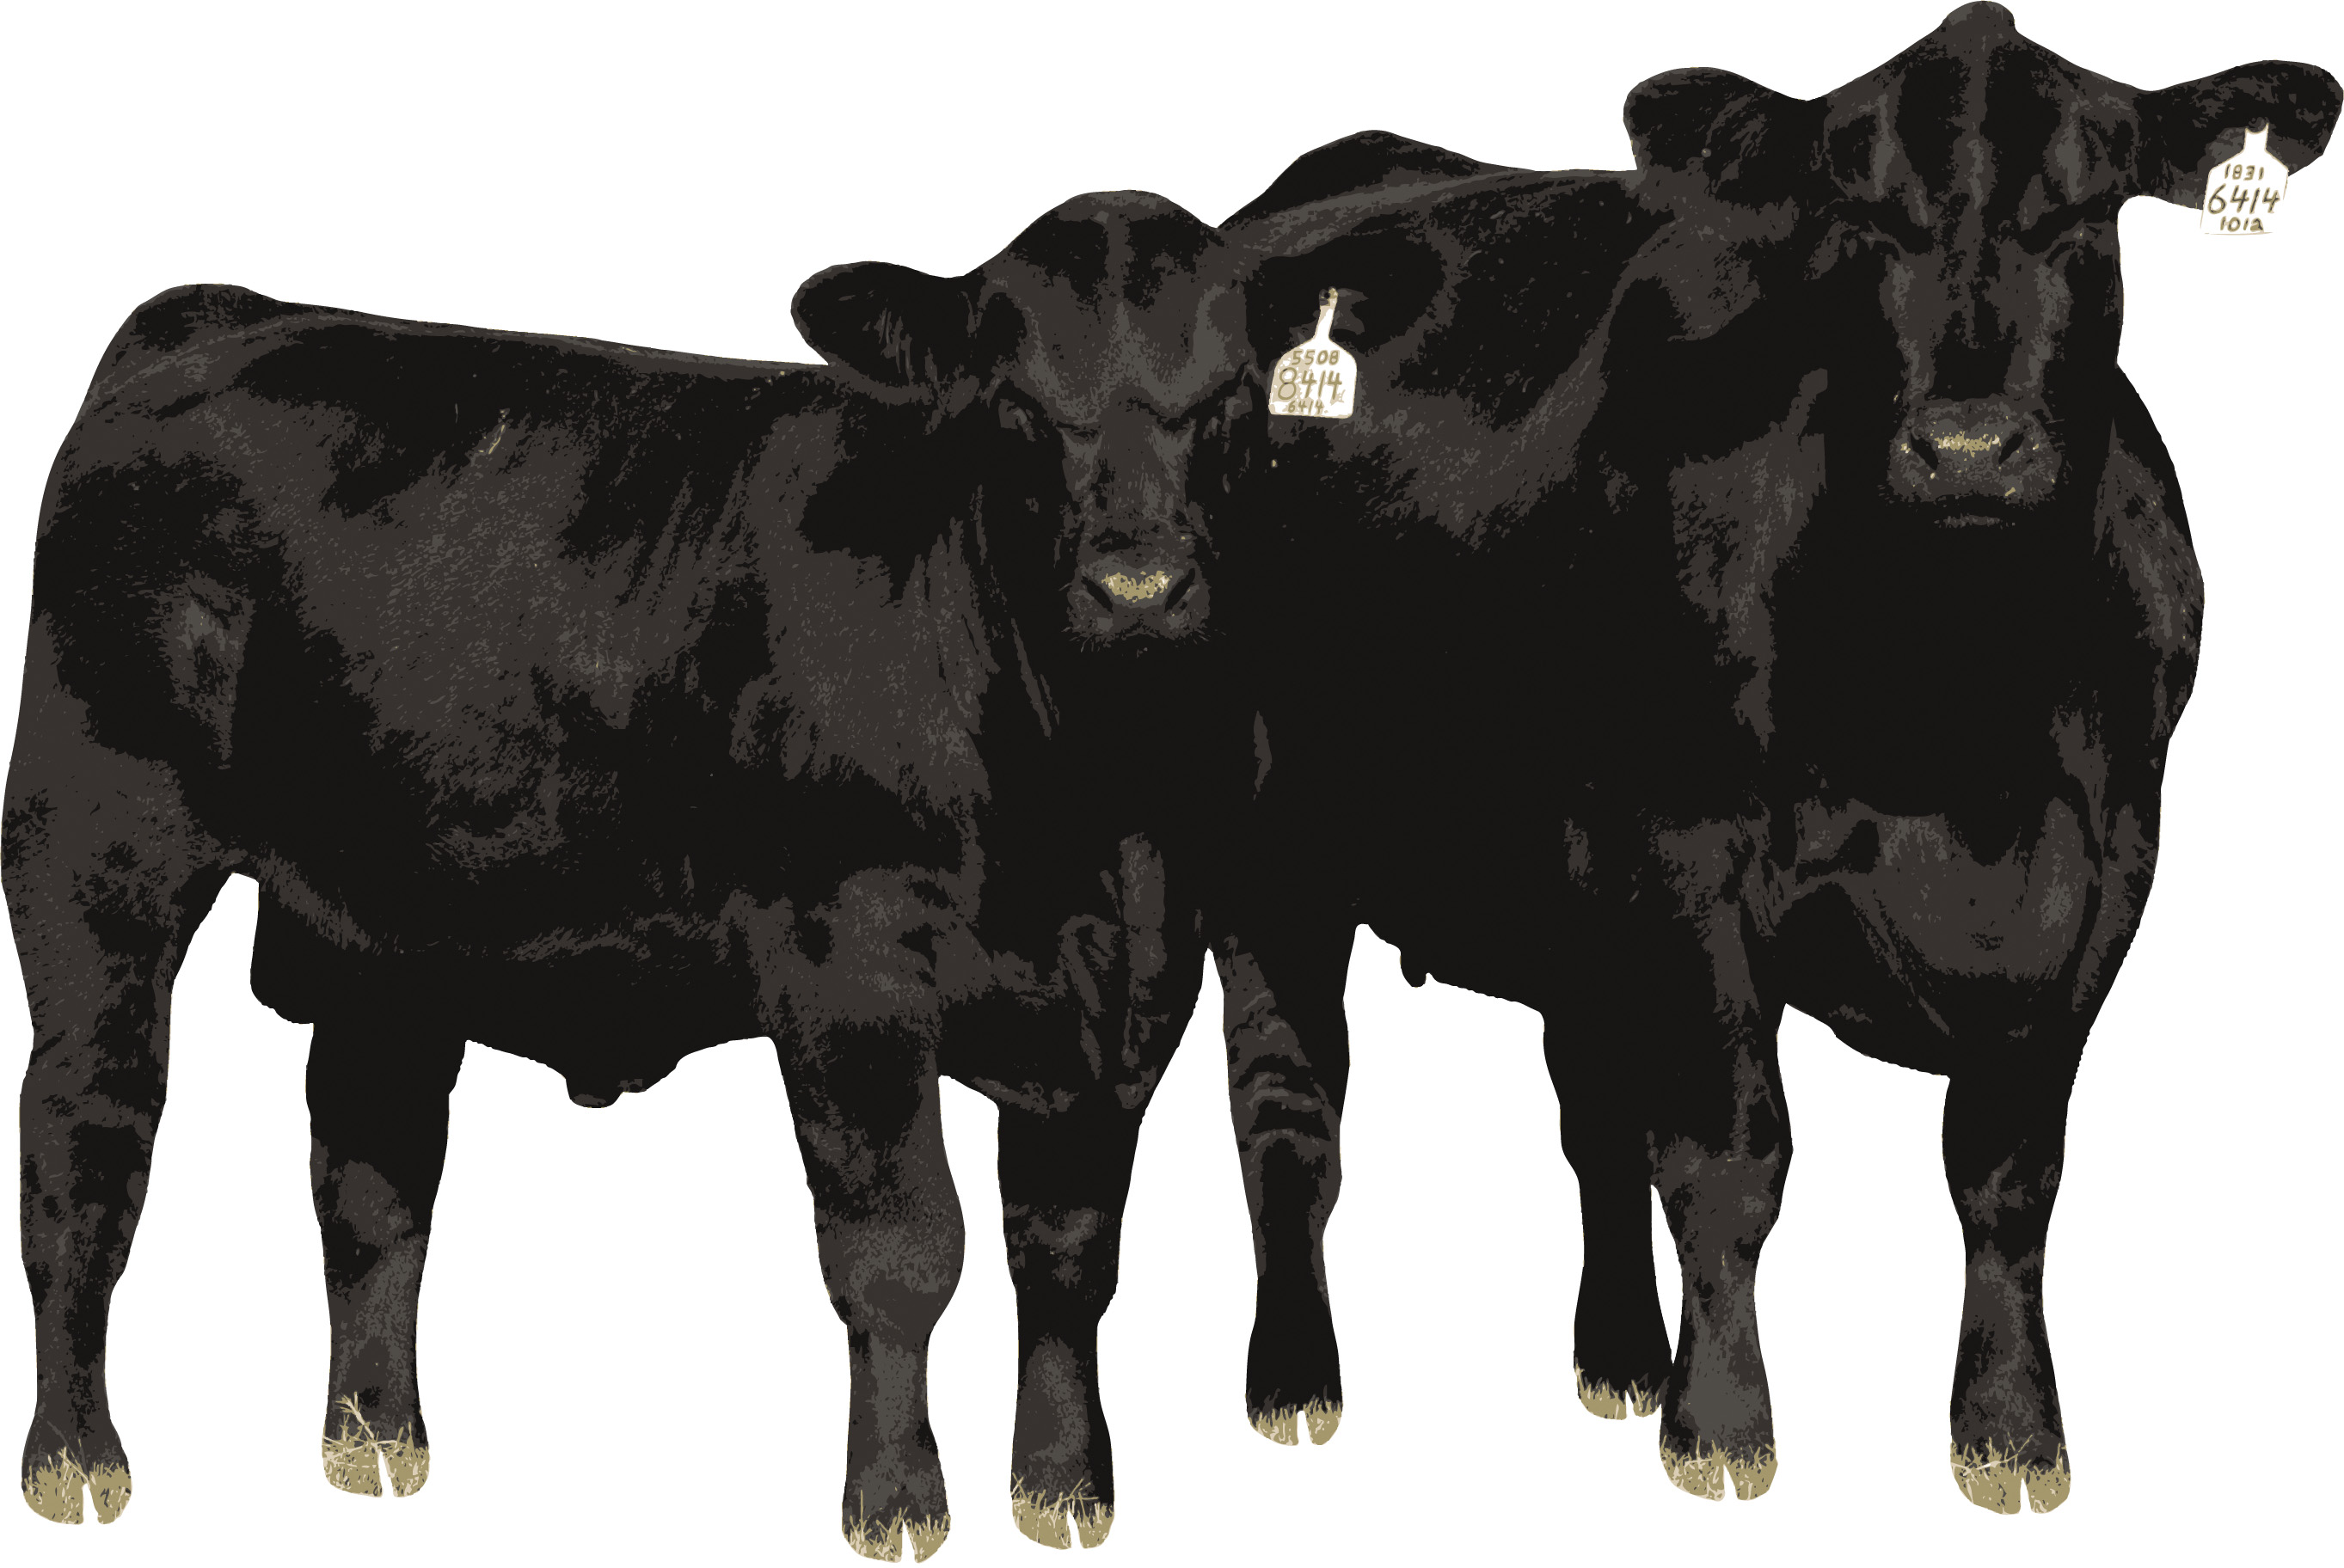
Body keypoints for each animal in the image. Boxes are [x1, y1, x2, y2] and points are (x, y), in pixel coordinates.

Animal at [6, 191, 1259, 1557]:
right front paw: (895, 1505)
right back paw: (77, 1461)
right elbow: (901, 1252)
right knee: (87, 1140)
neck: (1093, 819)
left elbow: (1071, 1255)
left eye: (1233, 393)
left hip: (390, 925)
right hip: (97, 843)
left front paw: (1065, 1491)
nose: (1139, 583)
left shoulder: (1138, 993)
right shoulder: (849, 970)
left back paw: (376, 1441)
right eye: (1015, 400)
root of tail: (224, 315)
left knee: (372, 1172)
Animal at [1211, 2, 2338, 1513]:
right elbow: (1730, 1159)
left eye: (2082, 206)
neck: (1958, 721)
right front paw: (1721, 1430)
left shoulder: (2103, 878)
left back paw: (1618, 1360)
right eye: (1858, 214)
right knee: (1290, 1113)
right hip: (1269, 844)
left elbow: (2007, 1174)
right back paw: (1297, 1385)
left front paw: (2009, 1436)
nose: (1966, 447)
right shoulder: (1693, 870)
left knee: (1591, 1113)